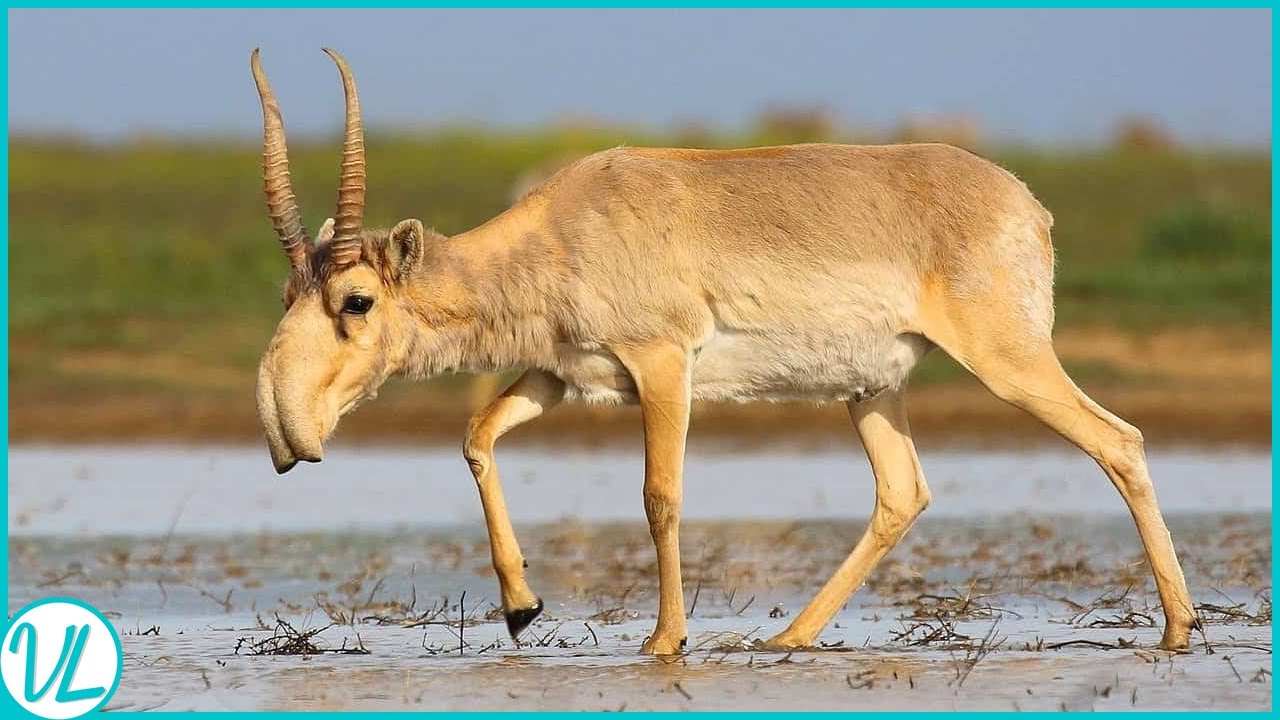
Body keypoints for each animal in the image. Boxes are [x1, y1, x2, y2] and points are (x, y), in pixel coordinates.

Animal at [251, 49, 1199, 655]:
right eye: (288, 293)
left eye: (356, 300)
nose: (285, 431)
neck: (563, 228)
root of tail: (1027, 204)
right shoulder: (562, 375)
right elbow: (477, 435)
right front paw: (522, 608)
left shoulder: (663, 367)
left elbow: (660, 496)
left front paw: (664, 639)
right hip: (871, 391)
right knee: (903, 493)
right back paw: (789, 636)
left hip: (1009, 362)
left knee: (1118, 441)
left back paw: (1179, 627)